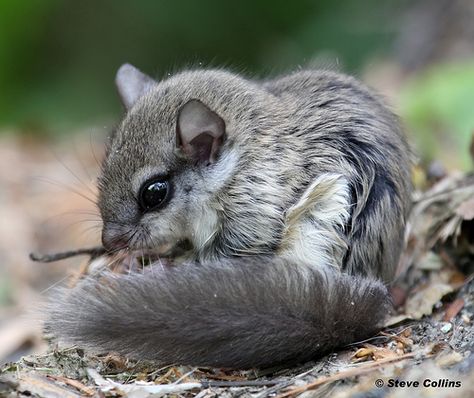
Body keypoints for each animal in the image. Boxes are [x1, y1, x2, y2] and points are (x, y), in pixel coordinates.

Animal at [46, 63, 412, 370]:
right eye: (104, 168)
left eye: (154, 193)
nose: (109, 242)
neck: (235, 167)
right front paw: (136, 260)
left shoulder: (255, 214)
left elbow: (219, 257)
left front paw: (160, 266)